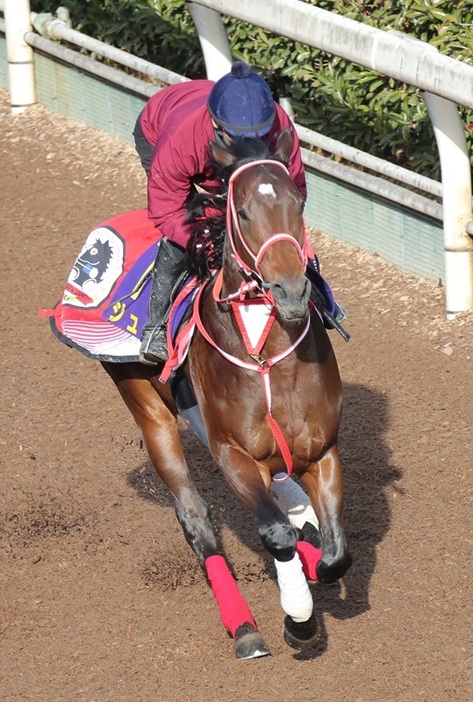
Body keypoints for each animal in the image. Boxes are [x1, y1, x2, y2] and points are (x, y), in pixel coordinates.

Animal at [100, 128, 350, 660]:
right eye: (245, 212)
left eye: (299, 203)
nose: (292, 291)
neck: (268, 358)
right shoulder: (233, 453)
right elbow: (275, 532)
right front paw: (299, 621)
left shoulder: (323, 450)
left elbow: (336, 553)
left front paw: (316, 561)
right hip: (147, 406)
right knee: (195, 516)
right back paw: (244, 627)